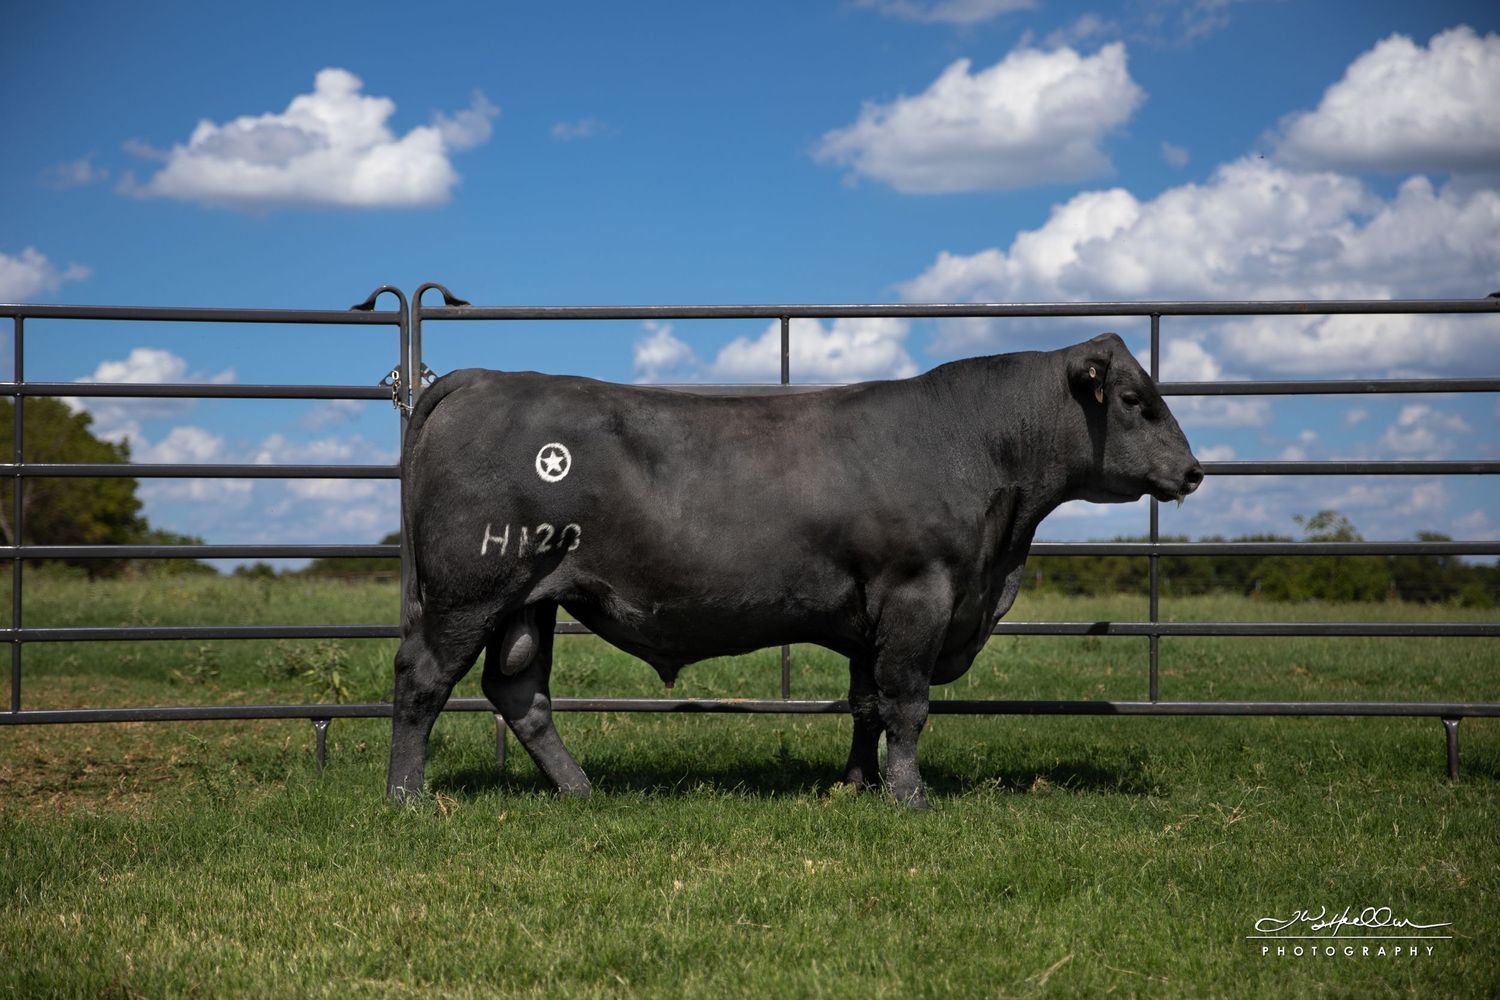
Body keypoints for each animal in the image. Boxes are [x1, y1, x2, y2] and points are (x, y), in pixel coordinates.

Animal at [387, 332, 1202, 809]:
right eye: (1136, 400)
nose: (1194, 471)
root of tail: (482, 378)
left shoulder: (872, 614)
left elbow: (867, 703)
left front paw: (855, 786)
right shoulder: (919, 593)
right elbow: (907, 704)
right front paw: (910, 798)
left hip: (530, 597)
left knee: (520, 692)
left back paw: (579, 790)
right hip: (470, 589)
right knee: (422, 680)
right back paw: (406, 797)